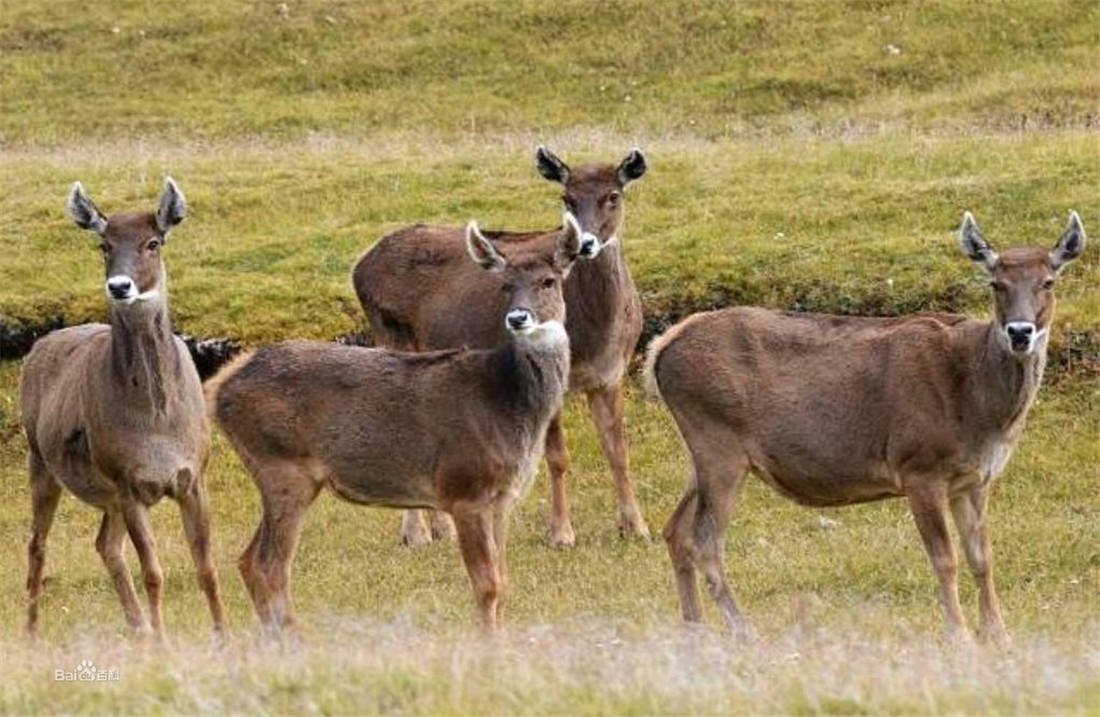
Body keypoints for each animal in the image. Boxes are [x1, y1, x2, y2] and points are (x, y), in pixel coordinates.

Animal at [20, 179, 227, 637]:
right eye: (104, 244)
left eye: (153, 242)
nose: (119, 286)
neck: (157, 424)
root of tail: (38, 345)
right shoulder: (128, 481)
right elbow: (154, 572)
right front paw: (165, 643)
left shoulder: (194, 475)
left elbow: (207, 569)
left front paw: (227, 639)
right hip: (41, 459)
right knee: (37, 545)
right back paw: (31, 634)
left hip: (105, 493)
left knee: (104, 544)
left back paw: (139, 630)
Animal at [207, 216, 585, 629]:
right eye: (504, 285)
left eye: (549, 281)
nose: (518, 318)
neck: (507, 404)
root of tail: (220, 386)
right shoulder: (464, 488)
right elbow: (487, 586)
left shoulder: (502, 499)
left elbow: (503, 582)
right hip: (283, 467)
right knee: (268, 565)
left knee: (247, 560)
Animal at [352, 147, 646, 549]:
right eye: (566, 198)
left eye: (613, 195)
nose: (584, 244)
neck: (596, 335)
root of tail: (359, 266)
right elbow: (558, 457)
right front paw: (561, 533)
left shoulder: (611, 375)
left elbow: (618, 450)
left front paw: (635, 527)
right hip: (391, 334)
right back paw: (416, 534)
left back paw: (441, 529)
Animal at [642, 210, 1082, 642]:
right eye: (996, 283)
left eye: (1049, 281)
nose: (1020, 333)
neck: (981, 413)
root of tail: (660, 349)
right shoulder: (918, 466)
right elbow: (945, 559)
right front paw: (959, 637)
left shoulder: (974, 480)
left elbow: (982, 557)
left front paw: (998, 635)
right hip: (717, 439)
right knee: (705, 541)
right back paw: (744, 631)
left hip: (704, 452)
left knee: (675, 530)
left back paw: (695, 630)